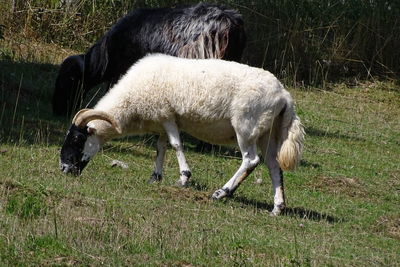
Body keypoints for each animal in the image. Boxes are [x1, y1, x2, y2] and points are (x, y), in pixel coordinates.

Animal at [58, 54, 304, 216]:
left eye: (78, 139)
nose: (64, 168)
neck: (130, 103)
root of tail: (284, 96)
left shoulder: (168, 115)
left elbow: (176, 145)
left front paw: (184, 177)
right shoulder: (161, 119)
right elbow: (160, 147)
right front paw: (155, 177)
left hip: (246, 127)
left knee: (251, 160)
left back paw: (222, 193)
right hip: (267, 132)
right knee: (273, 164)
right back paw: (277, 208)